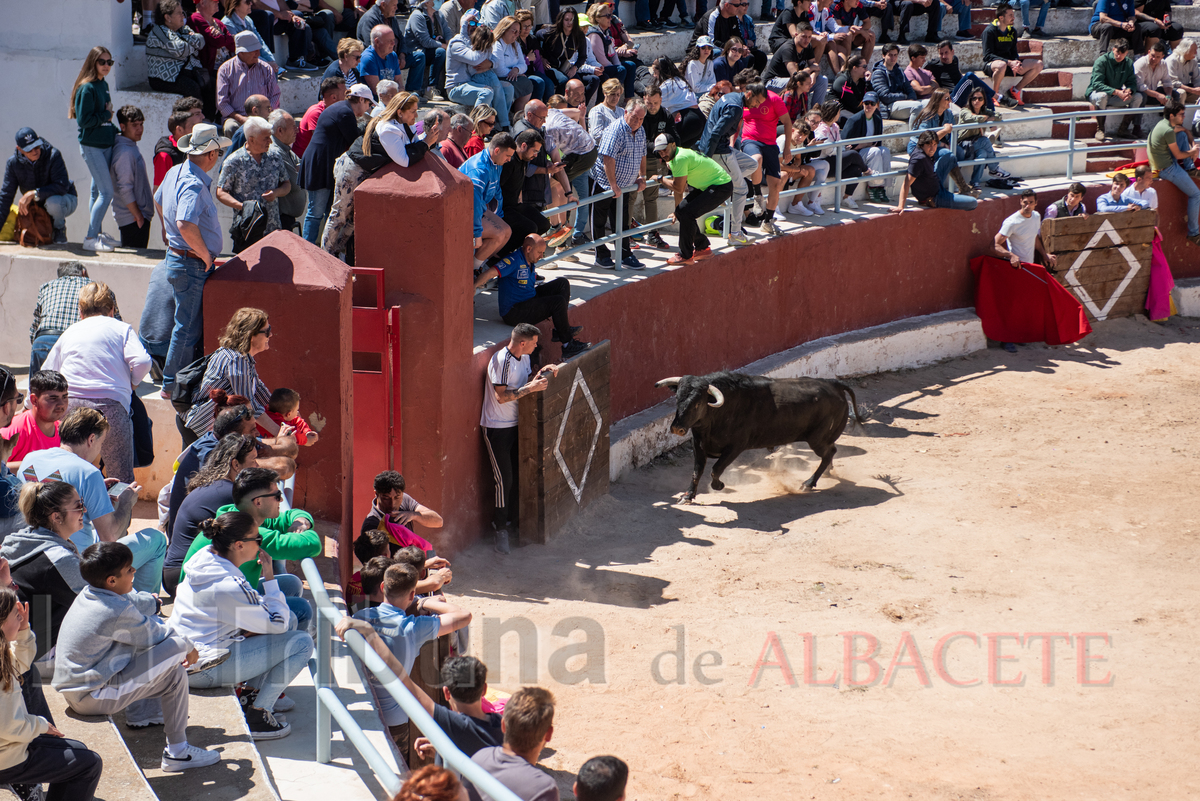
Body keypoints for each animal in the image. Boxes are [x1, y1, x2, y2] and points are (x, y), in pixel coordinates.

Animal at [657, 371, 864, 501]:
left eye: (698, 403)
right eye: (677, 399)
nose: (677, 428)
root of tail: (834, 383)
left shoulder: (735, 447)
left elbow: (715, 469)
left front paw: (719, 486)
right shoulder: (698, 445)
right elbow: (696, 472)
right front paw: (687, 496)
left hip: (817, 439)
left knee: (829, 452)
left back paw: (808, 483)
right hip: (822, 439)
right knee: (831, 451)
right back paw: (827, 472)